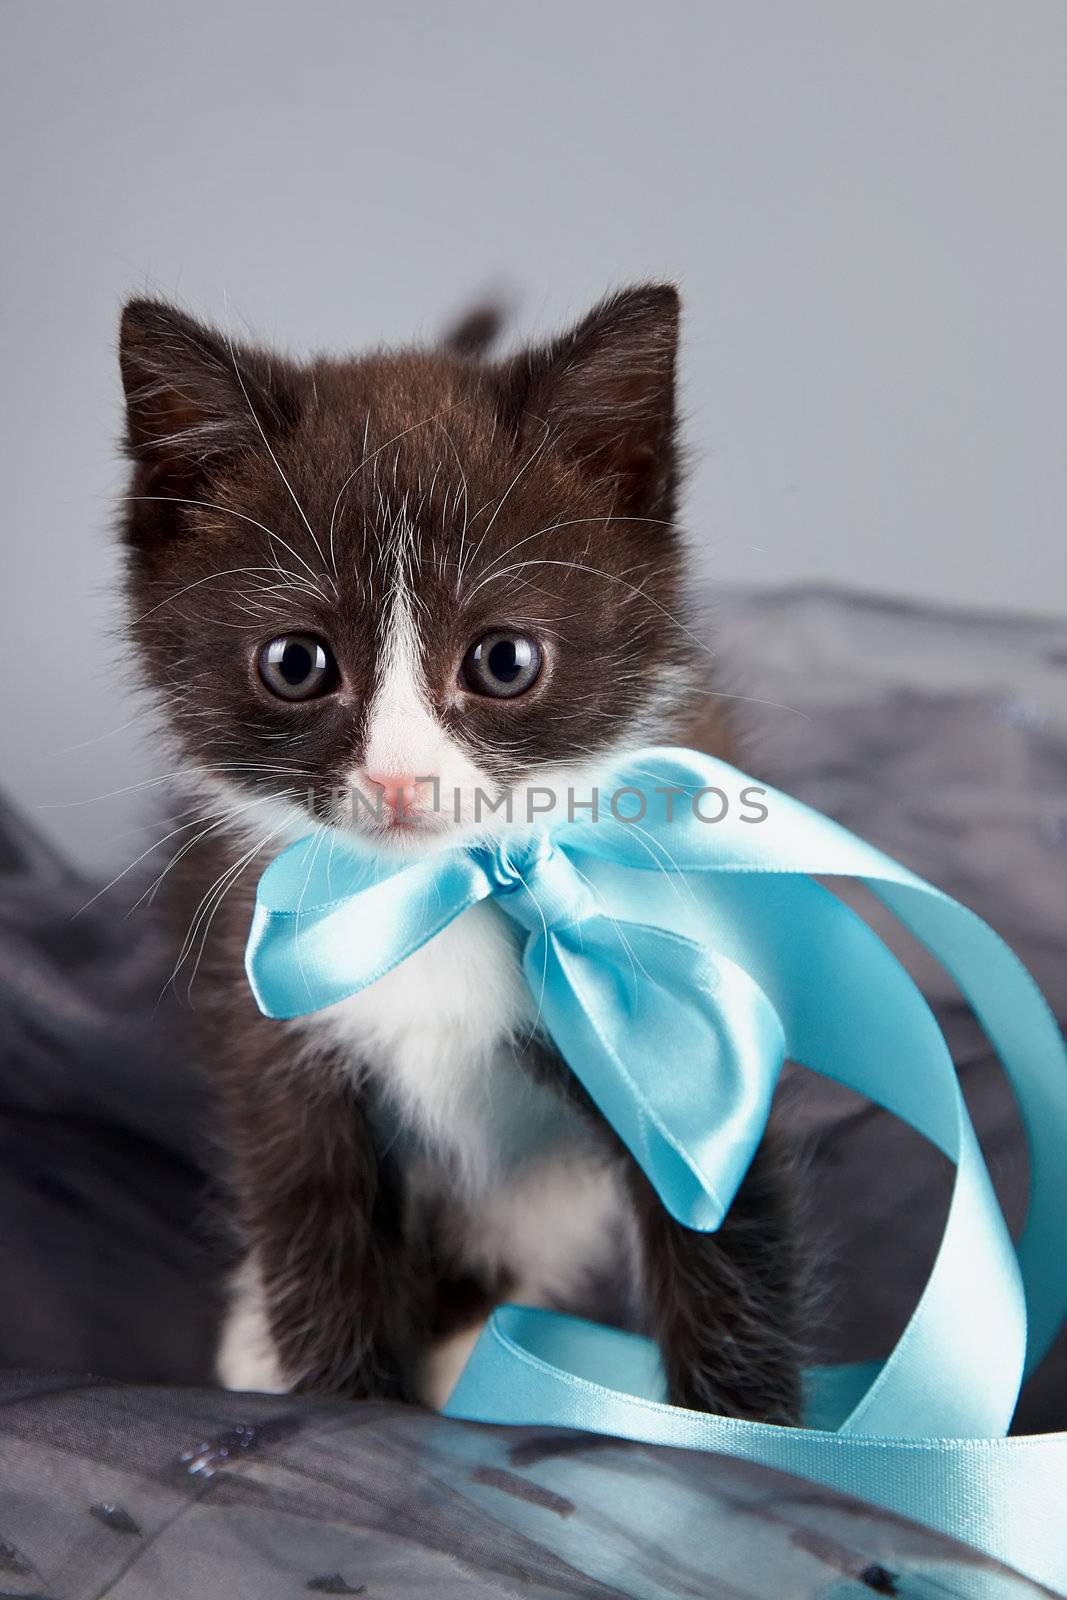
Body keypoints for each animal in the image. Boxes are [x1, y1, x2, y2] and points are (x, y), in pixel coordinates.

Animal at [116, 281, 799, 1420]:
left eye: (503, 659)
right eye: (295, 662)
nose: (399, 780)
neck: (434, 895)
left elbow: (722, 1241)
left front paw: (745, 1441)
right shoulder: (267, 1029)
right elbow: (313, 1229)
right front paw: (338, 1410)